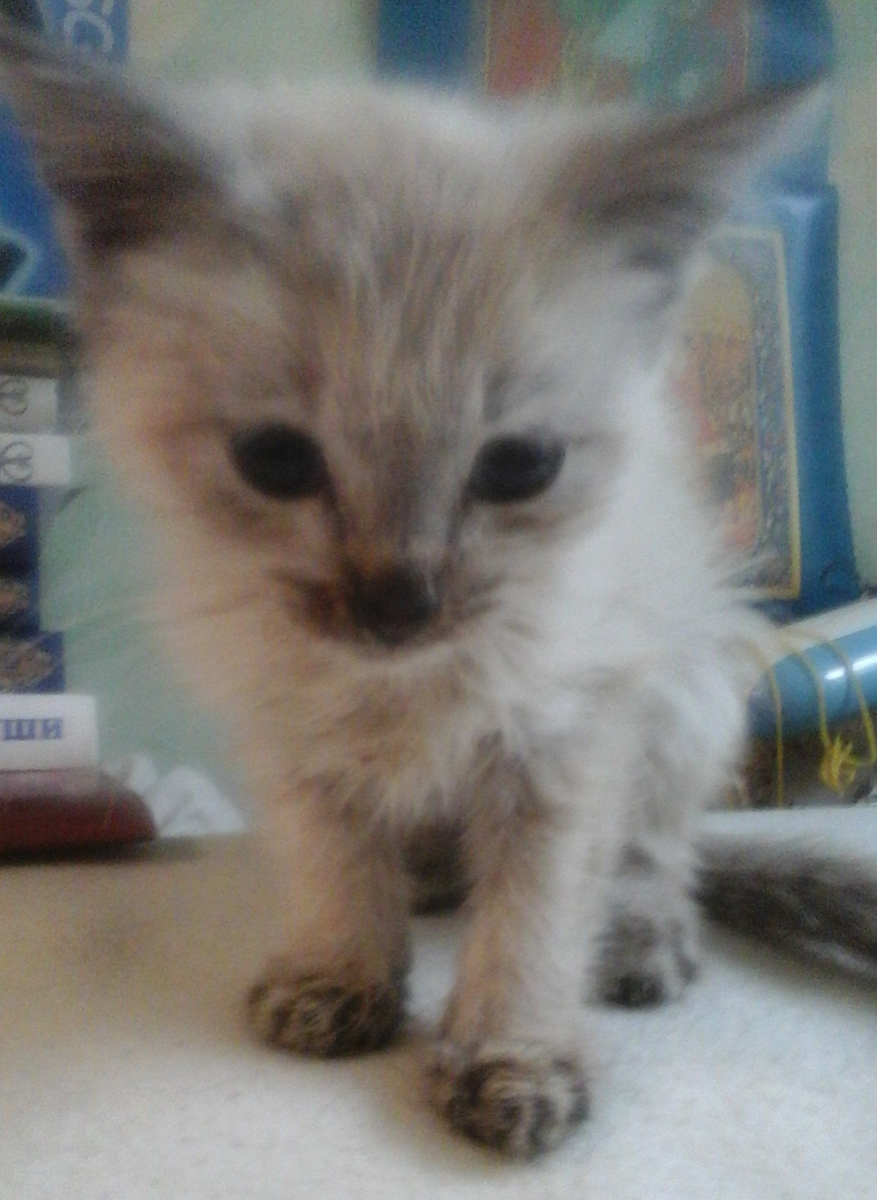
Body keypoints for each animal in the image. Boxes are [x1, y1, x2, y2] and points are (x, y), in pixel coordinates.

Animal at [1, 22, 874, 1159]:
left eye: (521, 467)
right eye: (274, 460)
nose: (397, 604)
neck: (401, 689)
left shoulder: (566, 736)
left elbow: (534, 916)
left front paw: (515, 1053)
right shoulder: (292, 732)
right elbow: (332, 863)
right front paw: (341, 974)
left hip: (688, 696)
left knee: (656, 851)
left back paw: (634, 937)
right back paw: (423, 877)